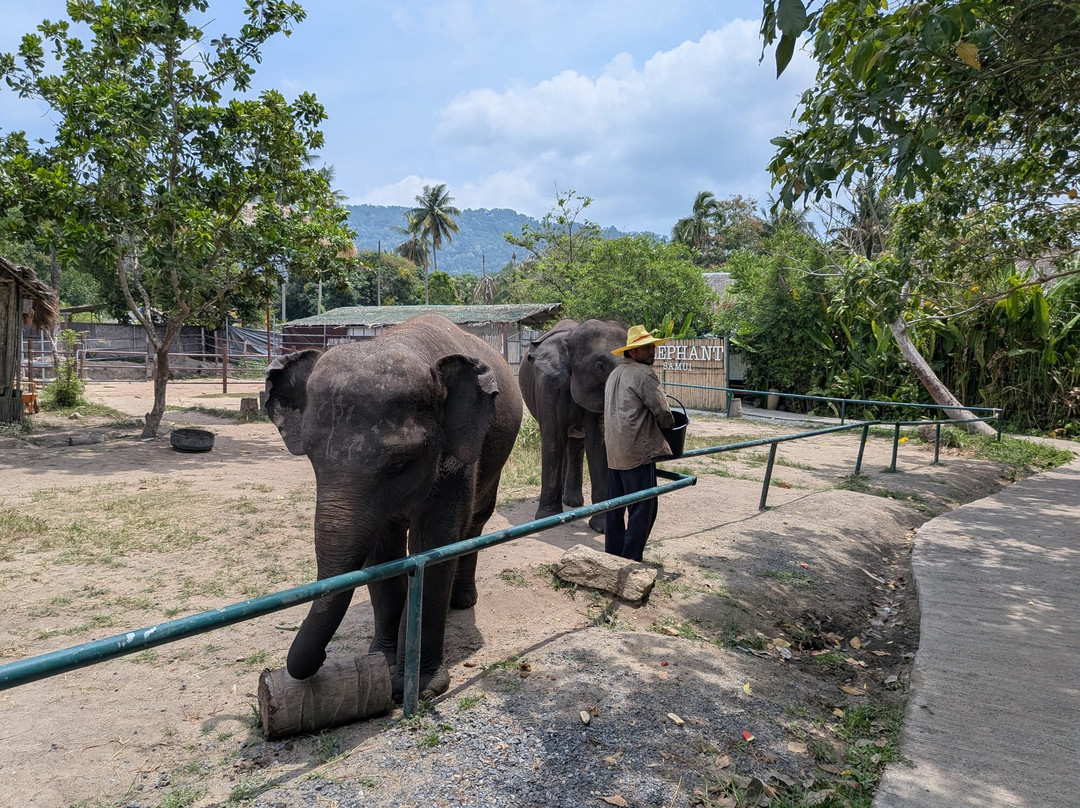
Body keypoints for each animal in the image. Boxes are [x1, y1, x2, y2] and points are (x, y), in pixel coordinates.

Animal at [264, 313, 523, 700]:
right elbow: (382, 551)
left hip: (495, 460)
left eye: (400, 464)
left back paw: (461, 601)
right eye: (310, 455)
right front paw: (383, 663)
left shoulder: (456, 460)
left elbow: (434, 545)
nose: (321, 659)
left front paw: (422, 687)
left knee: (475, 522)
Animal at [518, 318, 626, 533]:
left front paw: (601, 529)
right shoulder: (549, 385)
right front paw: (547, 519)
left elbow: (597, 445)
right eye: (600, 365)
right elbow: (554, 440)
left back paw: (573, 503)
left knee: (577, 444)